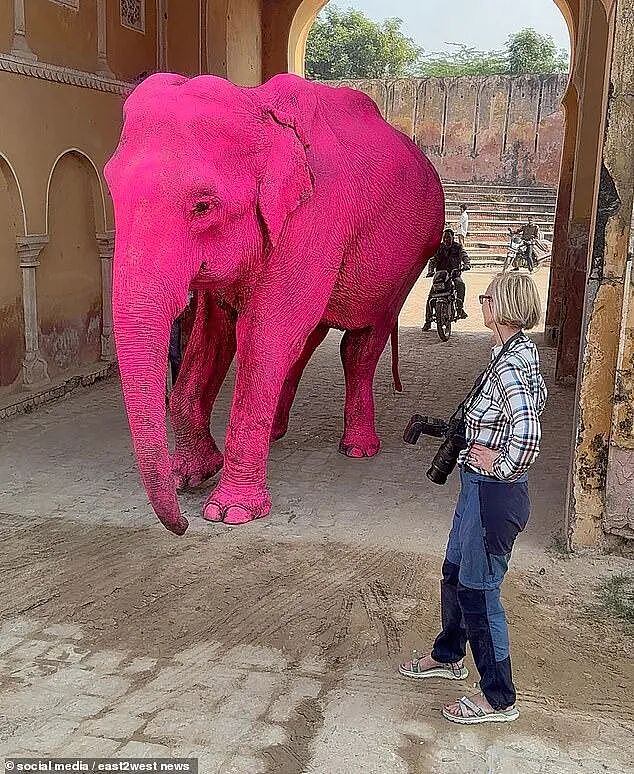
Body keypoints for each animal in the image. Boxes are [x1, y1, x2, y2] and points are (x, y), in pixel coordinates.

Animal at [104, 72, 445, 535]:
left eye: (203, 206)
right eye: (111, 189)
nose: (181, 525)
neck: (257, 105)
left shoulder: (315, 218)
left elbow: (264, 334)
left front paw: (229, 512)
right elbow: (213, 335)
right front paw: (188, 476)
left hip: (411, 260)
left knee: (360, 343)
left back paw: (358, 449)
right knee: (306, 342)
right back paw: (277, 435)